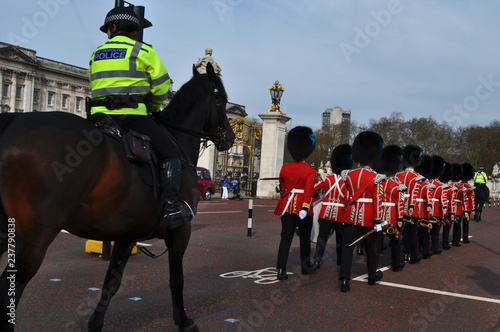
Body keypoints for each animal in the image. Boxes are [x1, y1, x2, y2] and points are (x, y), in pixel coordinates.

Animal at [0, 63, 233, 330]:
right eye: (221, 99)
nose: (230, 137)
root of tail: (14, 120)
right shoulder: (181, 231)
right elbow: (177, 279)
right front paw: (183, 320)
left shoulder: (128, 233)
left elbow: (112, 282)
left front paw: (95, 324)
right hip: (36, 236)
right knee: (11, 287)